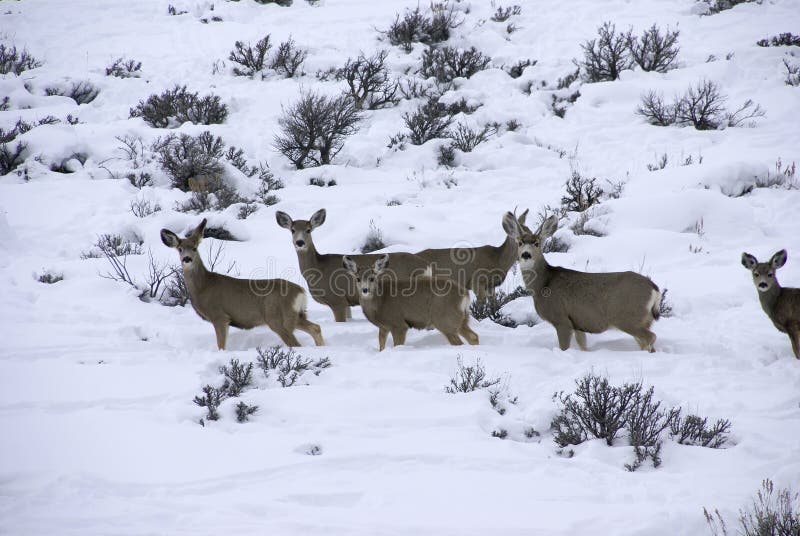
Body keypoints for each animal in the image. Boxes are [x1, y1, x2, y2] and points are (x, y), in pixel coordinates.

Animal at [161, 219, 324, 349]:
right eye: (180, 249)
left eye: (194, 248)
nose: (187, 259)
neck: (203, 286)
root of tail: (301, 291)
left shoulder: (220, 316)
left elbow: (221, 346)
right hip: (297, 315)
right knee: (315, 327)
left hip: (279, 318)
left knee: (297, 343)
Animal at [275, 208, 431, 322]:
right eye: (292, 230)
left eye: (308, 229)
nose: (300, 242)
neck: (318, 269)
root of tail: (426, 266)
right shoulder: (347, 303)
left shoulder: (337, 300)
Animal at [343, 254, 479, 351]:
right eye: (358, 278)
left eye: (372, 278)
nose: (365, 290)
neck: (380, 302)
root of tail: (465, 295)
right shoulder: (384, 327)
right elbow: (381, 347)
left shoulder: (398, 324)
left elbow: (397, 345)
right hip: (461, 319)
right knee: (473, 337)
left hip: (445, 319)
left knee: (459, 342)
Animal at [510, 213, 661, 352]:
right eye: (520, 242)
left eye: (537, 243)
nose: (526, 254)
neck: (543, 285)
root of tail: (654, 289)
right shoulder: (579, 324)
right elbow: (583, 346)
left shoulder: (561, 319)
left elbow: (564, 347)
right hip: (644, 319)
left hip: (627, 317)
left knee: (651, 337)